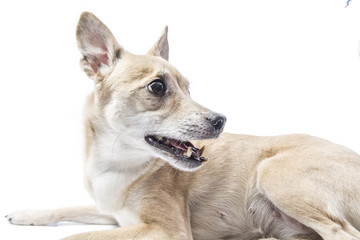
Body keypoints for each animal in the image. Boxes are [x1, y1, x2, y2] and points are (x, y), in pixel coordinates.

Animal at [6, 12, 360, 240]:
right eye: (157, 87)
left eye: (188, 88)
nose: (220, 120)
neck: (117, 163)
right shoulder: (111, 211)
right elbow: (68, 207)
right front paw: (25, 214)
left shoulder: (165, 229)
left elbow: (78, 236)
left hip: (273, 172)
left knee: (343, 233)